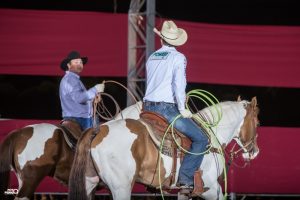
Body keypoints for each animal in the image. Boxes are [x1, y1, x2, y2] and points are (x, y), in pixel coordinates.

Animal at [68, 96, 260, 199]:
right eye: (257, 123)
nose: (255, 151)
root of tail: (98, 130)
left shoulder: (185, 190)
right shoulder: (210, 187)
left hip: (89, 182)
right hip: (120, 187)